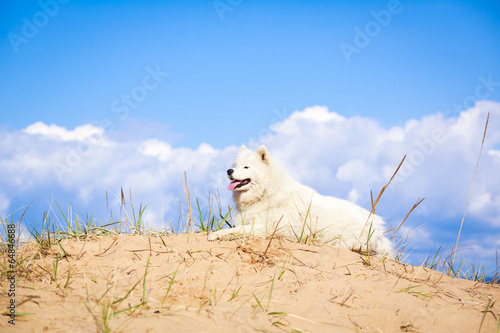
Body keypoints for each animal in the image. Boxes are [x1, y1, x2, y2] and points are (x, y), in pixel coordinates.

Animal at [208, 143, 394, 256]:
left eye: (246, 167)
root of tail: (379, 230)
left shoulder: (267, 228)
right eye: (235, 165)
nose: (229, 171)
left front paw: (215, 234)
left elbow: (234, 230)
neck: (267, 192)